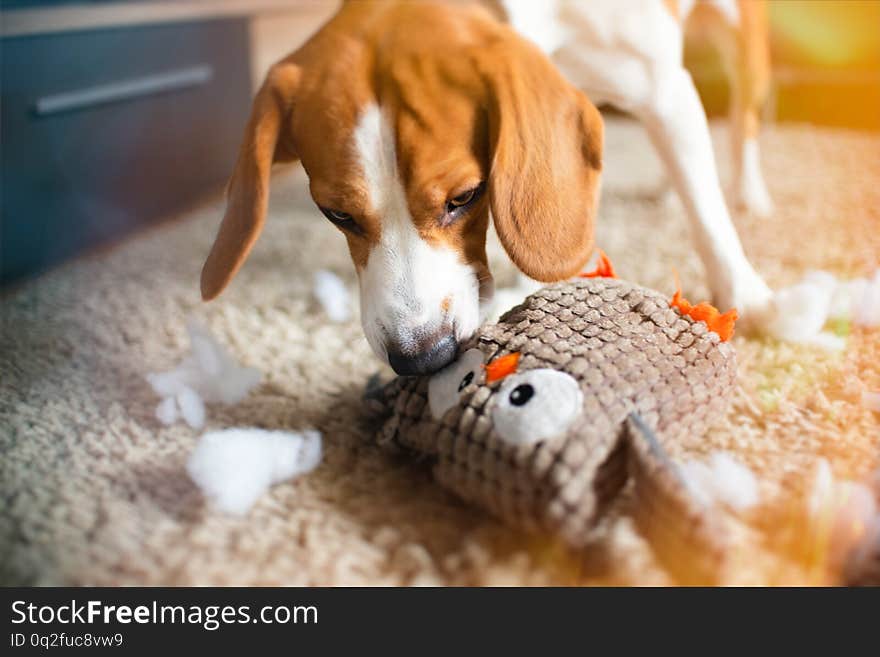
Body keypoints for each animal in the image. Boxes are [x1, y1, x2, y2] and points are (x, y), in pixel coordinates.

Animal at [199, 0, 768, 376]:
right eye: (337, 214)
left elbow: (708, 214)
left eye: (464, 198)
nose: (422, 358)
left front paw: (747, 296)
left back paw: (749, 191)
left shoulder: (663, 89)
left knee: (744, 110)